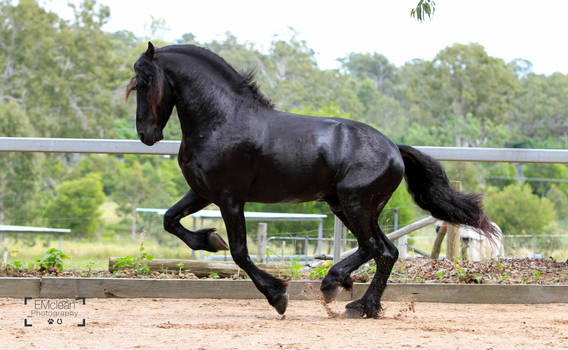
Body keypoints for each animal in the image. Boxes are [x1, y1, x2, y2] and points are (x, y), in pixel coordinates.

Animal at [126, 42, 494, 318]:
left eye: (143, 82)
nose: (146, 135)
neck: (222, 120)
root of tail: (394, 148)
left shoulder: (230, 198)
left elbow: (240, 253)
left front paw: (278, 296)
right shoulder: (202, 192)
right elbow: (170, 220)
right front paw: (209, 240)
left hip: (356, 205)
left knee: (377, 249)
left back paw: (338, 289)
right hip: (347, 207)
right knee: (385, 251)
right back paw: (360, 304)